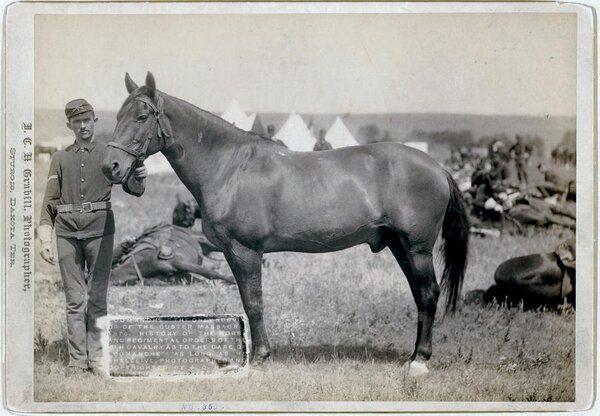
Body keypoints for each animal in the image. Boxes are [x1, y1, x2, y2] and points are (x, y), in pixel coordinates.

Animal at [102, 72, 468, 376]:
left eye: (141, 117)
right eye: (116, 116)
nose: (111, 166)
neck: (230, 167)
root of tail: (437, 167)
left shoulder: (246, 251)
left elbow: (254, 302)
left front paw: (260, 357)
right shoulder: (232, 253)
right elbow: (247, 299)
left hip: (417, 248)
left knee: (428, 293)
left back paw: (420, 360)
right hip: (398, 245)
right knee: (419, 295)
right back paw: (414, 355)